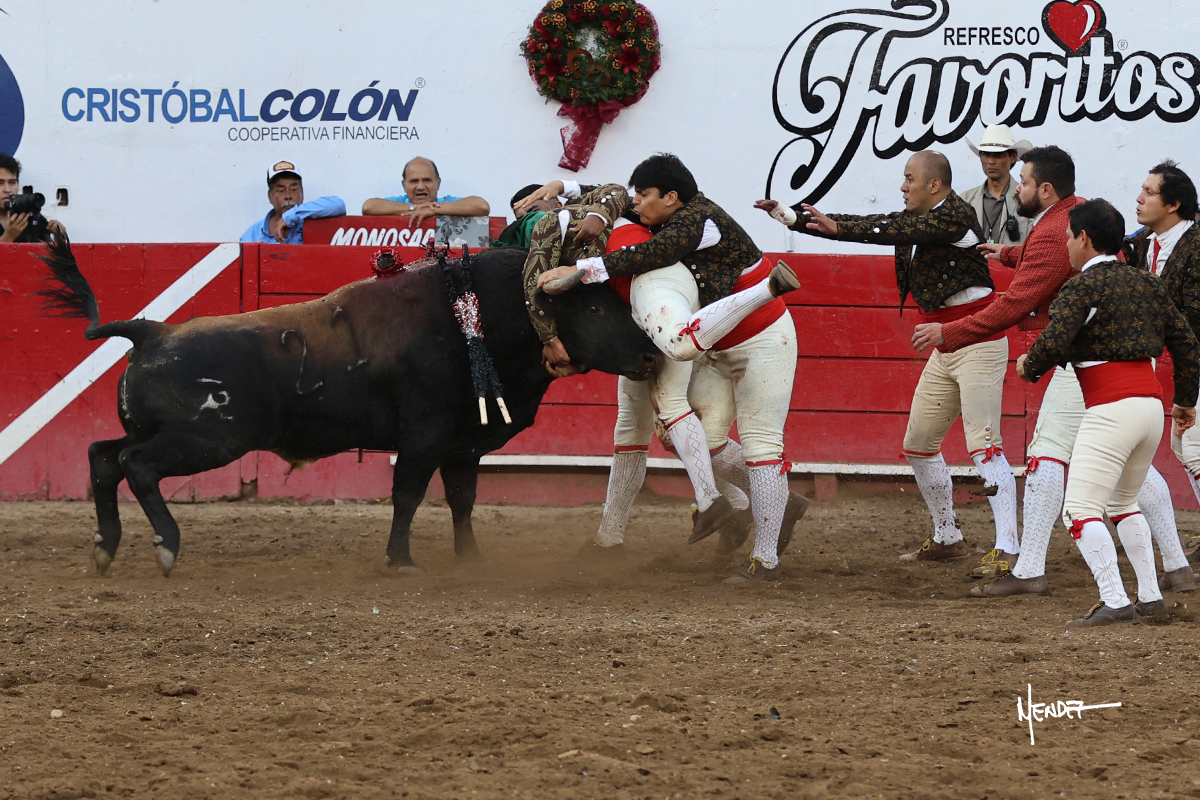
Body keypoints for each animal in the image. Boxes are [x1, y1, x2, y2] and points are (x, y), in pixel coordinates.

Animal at [35, 234, 658, 576]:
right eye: (596, 310)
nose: (652, 355)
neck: (480, 319)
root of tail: (151, 332)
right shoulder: (424, 437)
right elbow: (408, 495)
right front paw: (400, 561)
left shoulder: (463, 446)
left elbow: (462, 501)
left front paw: (470, 559)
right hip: (208, 439)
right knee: (134, 464)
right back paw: (166, 546)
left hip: (168, 434)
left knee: (102, 455)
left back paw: (105, 548)